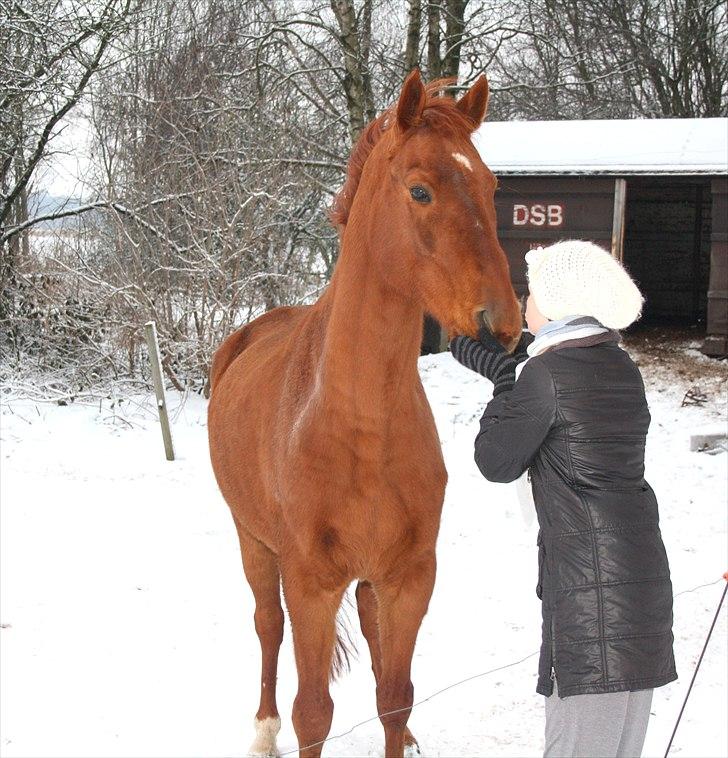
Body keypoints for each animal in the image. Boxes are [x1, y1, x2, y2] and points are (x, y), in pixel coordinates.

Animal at [208, 71, 520, 758]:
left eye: (492, 187)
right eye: (420, 189)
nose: (503, 324)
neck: (359, 425)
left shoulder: (409, 578)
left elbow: (396, 698)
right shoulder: (310, 584)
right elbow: (313, 713)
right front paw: (287, 723)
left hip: (371, 581)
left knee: (376, 650)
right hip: (253, 542)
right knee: (267, 628)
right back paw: (263, 727)